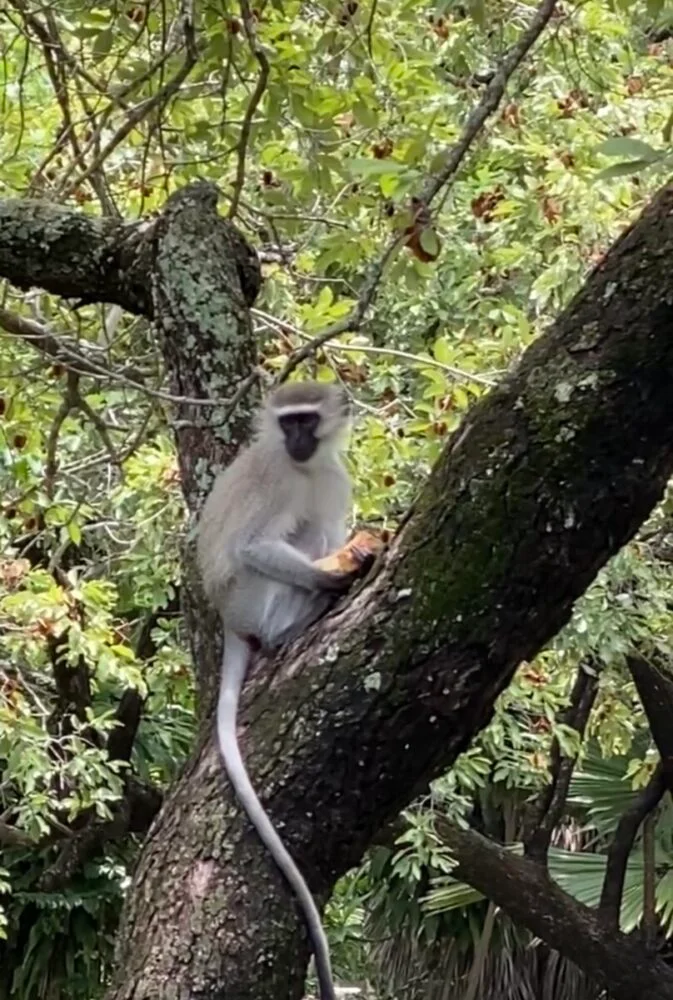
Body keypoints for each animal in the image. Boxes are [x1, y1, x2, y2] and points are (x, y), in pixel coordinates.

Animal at [197, 380, 364, 1000]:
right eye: (287, 421)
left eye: (307, 421)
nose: (294, 440)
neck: (305, 468)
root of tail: (227, 618)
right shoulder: (277, 478)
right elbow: (251, 546)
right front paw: (336, 574)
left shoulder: (332, 476)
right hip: (251, 598)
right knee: (280, 548)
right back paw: (300, 617)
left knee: (315, 528)